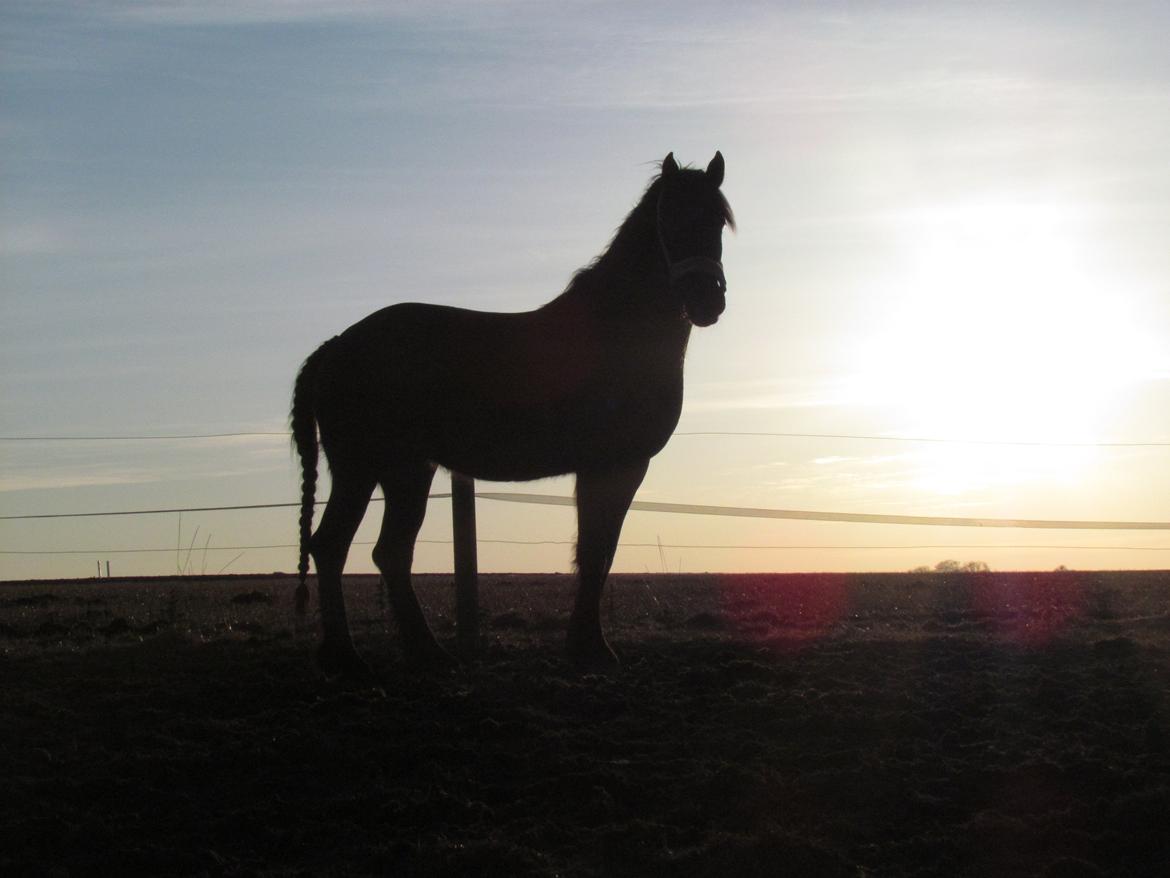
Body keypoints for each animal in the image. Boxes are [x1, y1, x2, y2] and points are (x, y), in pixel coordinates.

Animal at [290, 151, 730, 678]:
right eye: (669, 219)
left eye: (718, 220)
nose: (707, 300)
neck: (616, 331)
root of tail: (336, 346)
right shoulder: (617, 464)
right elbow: (597, 551)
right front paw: (592, 647)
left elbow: (595, 552)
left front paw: (584, 645)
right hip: (361, 469)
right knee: (334, 547)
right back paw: (346, 656)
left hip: (404, 472)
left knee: (387, 553)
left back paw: (424, 652)